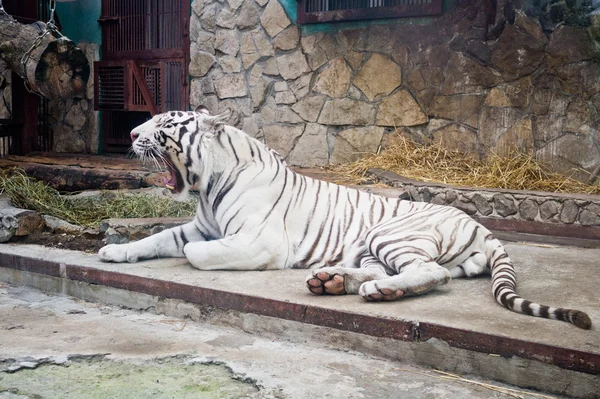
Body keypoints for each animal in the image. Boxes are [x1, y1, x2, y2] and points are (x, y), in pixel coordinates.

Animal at [98, 108, 592, 330]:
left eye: (165, 126)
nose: (131, 132)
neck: (208, 184)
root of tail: (482, 226)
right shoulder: (199, 226)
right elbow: (156, 239)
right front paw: (113, 250)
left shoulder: (257, 241)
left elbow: (197, 255)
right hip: (373, 249)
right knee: (399, 273)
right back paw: (333, 281)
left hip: (388, 234)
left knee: (429, 273)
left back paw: (369, 290)